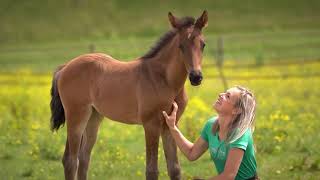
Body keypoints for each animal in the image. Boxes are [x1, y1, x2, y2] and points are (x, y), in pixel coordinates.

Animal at [50, 10, 208, 180]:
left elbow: (175, 169)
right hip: (76, 116)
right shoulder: (151, 124)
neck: (164, 80)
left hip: (93, 117)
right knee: (71, 160)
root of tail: (65, 67)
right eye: (181, 46)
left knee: (84, 157)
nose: (196, 77)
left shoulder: (172, 123)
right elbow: (152, 170)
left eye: (203, 44)